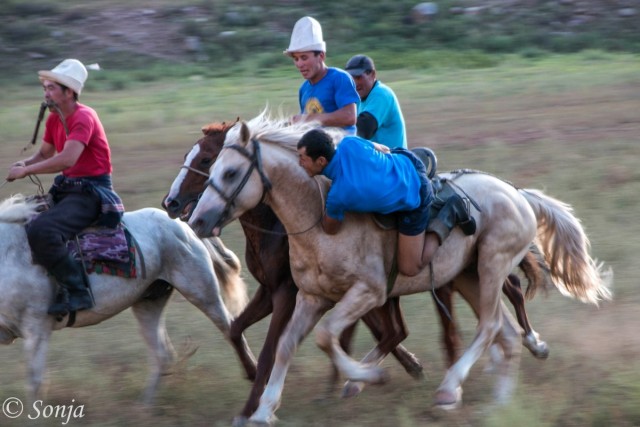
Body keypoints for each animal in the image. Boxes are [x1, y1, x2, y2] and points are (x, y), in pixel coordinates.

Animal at [0, 196, 255, 406]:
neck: (9, 253)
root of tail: (184, 226)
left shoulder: (37, 327)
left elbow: (35, 381)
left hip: (203, 293)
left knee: (232, 330)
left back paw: (253, 375)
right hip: (148, 303)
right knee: (162, 355)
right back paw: (144, 409)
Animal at [189, 113, 608, 424]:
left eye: (228, 172)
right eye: (212, 166)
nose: (196, 220)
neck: (317, 216)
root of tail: (518, 194)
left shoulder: (367, 293)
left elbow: (327, 337)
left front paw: (367, 377)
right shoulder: (310, 297)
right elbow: (287, 345)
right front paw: (263, 411)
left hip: (492, 265)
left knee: (491, 326)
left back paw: (448, 389)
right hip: (467, 276)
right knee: (505, 333)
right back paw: (498, 403)